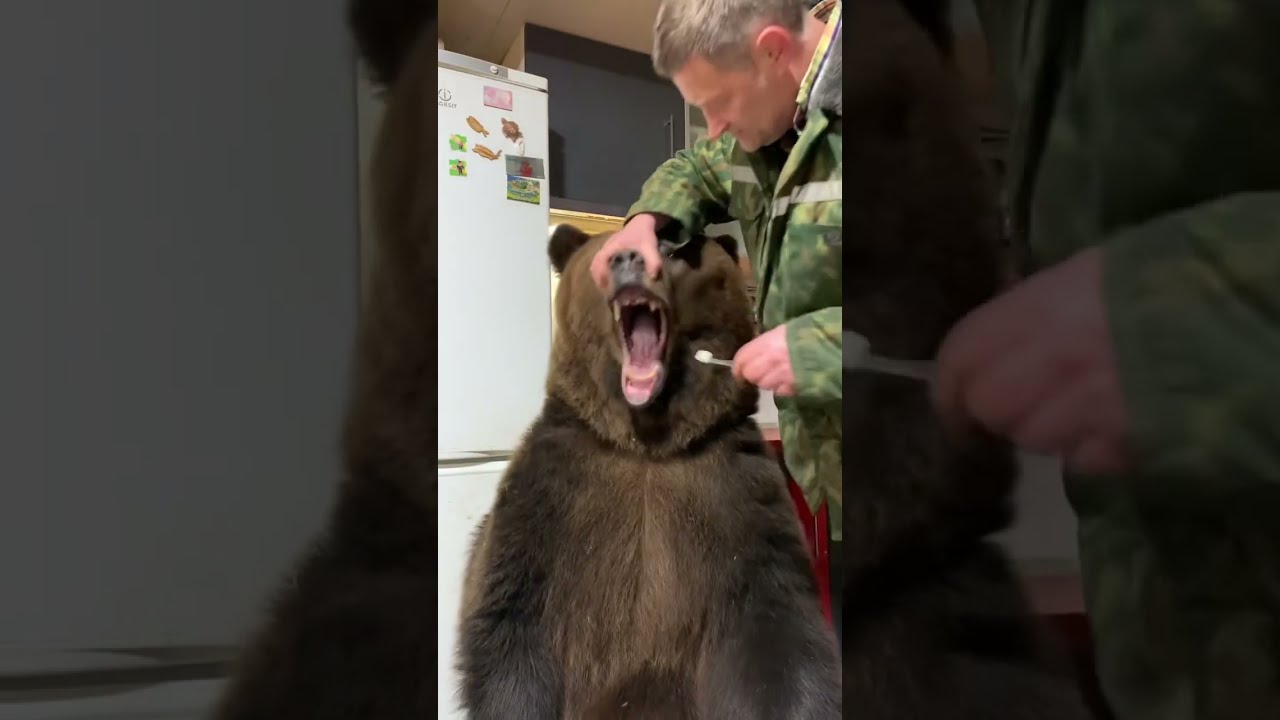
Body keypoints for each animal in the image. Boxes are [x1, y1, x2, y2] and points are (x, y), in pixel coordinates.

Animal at [454, 225, 842, 719]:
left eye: (673, 247)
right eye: (604, 252)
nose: (629, 259)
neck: (648, 445)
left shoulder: (739, 503)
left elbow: (780, 648)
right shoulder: (549, 504)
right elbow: (511, 632)